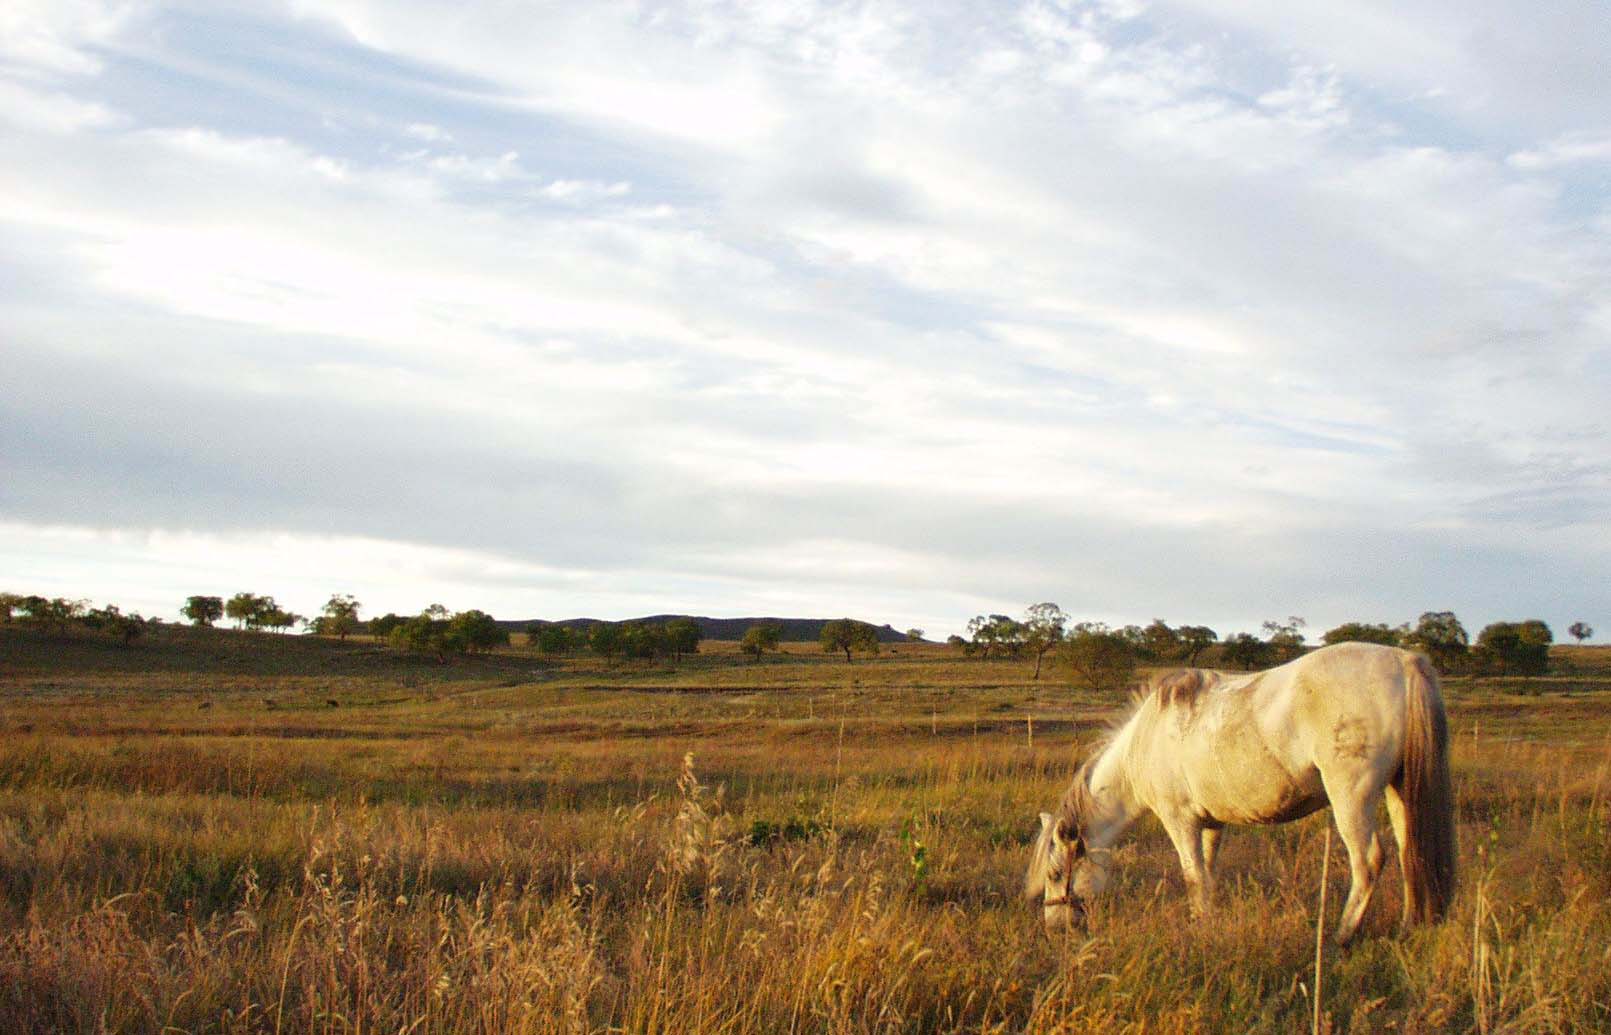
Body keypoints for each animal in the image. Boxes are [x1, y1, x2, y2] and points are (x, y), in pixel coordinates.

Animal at [1031, 644, 1462, 941]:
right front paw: (1204, 920)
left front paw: (1201, 927)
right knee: (1410, 854)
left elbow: (1193, 876)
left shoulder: (1180, 821)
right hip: (1399, 790)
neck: (1146, 739)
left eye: (1056, 873)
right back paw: (1409, 927)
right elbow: (1207, 873)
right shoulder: (1211, 824)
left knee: (1369, 861)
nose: (1054, 927)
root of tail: (1405, 662)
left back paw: (1340, 936)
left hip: (1351, 797)